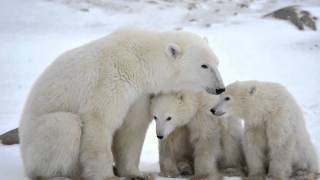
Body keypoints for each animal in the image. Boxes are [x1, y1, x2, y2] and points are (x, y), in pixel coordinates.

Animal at [19, 28, 225, 180]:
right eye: (204, 65)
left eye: (217, 63)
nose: (220, 88)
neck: (141, 60)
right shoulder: (113, 78)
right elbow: (99, 120)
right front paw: (107, 176)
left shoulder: (139, 94)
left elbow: (132, 128)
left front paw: (137, 174)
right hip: (36, 139)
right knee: (65, 126)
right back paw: (57, 175)